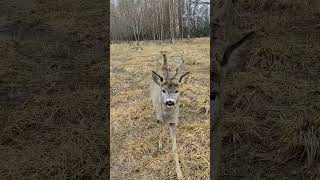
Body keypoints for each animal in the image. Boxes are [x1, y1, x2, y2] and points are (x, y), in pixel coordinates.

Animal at [149, 51, 188, 180]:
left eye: (177, 91)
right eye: (163, 90)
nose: (170, 102)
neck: (166, 116)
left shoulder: (174, 122)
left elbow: (175, 148)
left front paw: (179, 173)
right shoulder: (159, 117)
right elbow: (160, 129)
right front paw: (160, 144)